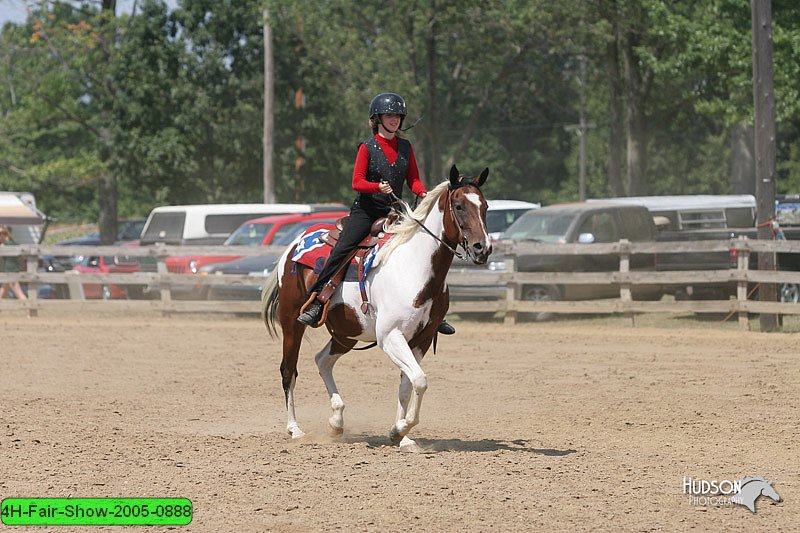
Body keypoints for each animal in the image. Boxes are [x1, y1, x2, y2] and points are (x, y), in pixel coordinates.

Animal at [262, 165, 490, 448]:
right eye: (459, 206)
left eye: (485, 207)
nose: (483, 248)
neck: (414, 266)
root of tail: (295, 243)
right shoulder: (390, 337)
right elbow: (420, 380)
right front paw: (399, 429)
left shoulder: (421, 339)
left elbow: (407, 386)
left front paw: (402, 436)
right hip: (292, 322)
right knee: (288, 370)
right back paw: (295, 428)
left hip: (346, 333)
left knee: (322, 360)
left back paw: (336, 422)